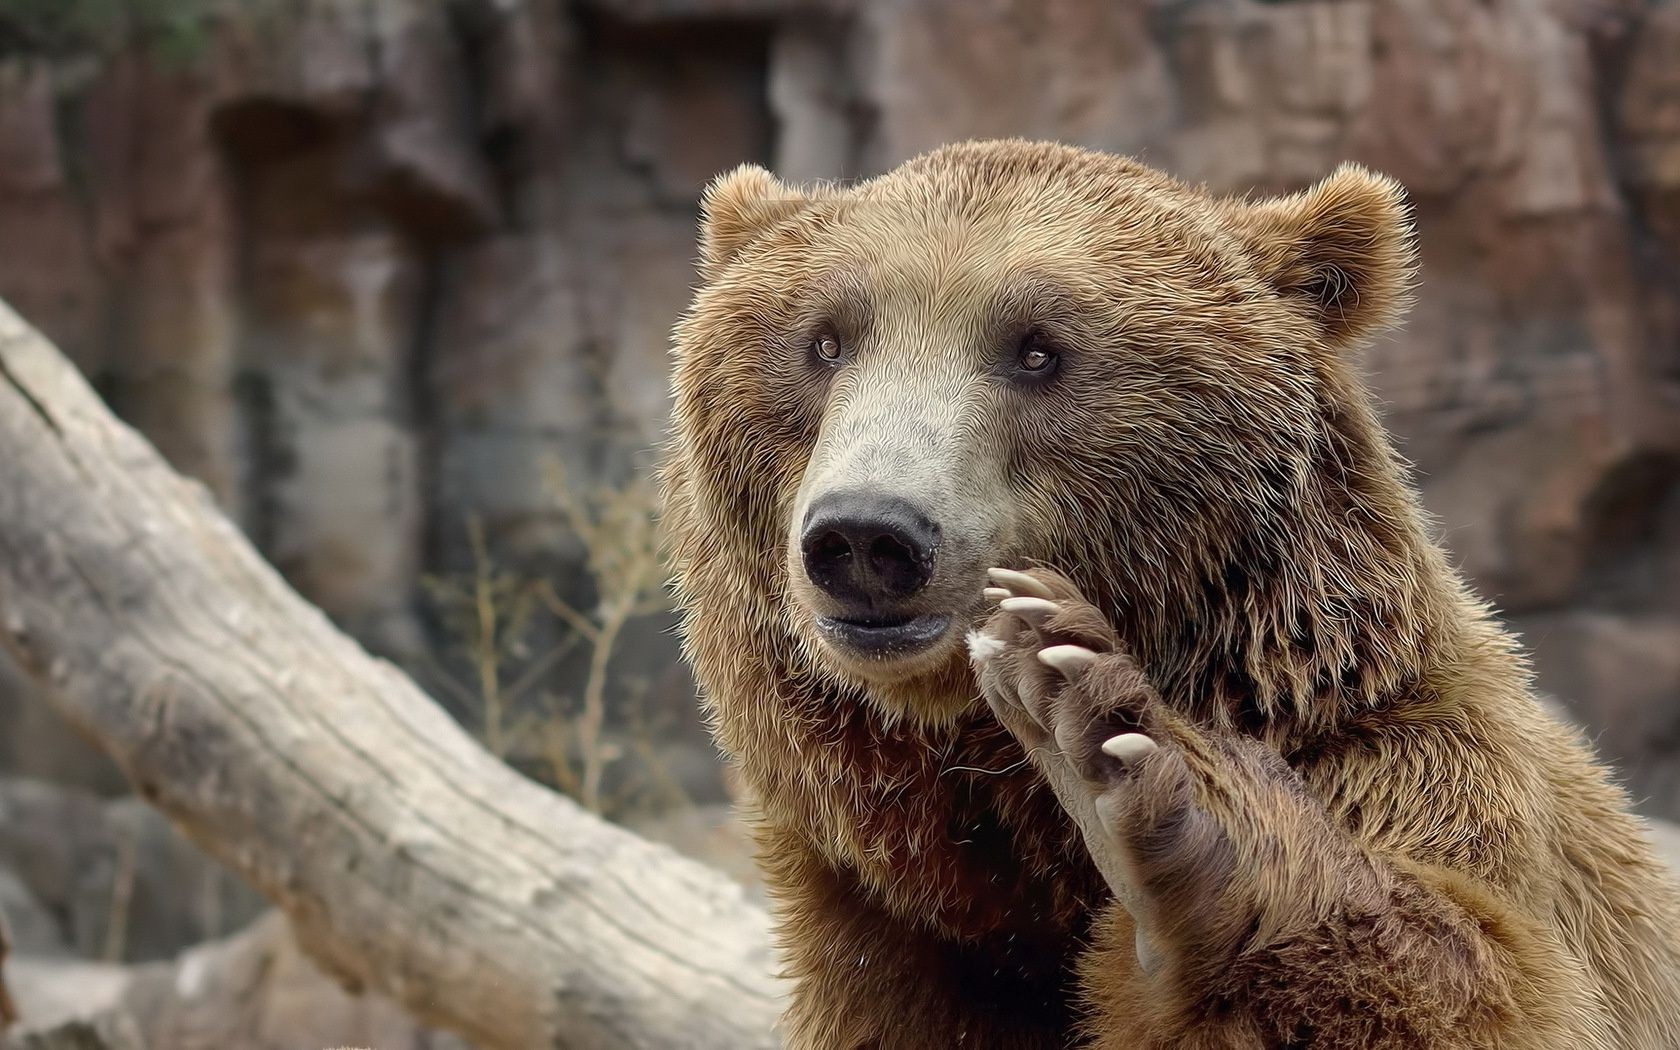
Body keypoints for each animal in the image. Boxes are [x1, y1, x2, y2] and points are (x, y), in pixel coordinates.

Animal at [655, 141, 1680, 1048]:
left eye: (1038, 350)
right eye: (825, 339)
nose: (869, 536)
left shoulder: (1421, 765)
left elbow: (1475, 981)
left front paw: (1131, 766)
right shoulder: (883, 930)